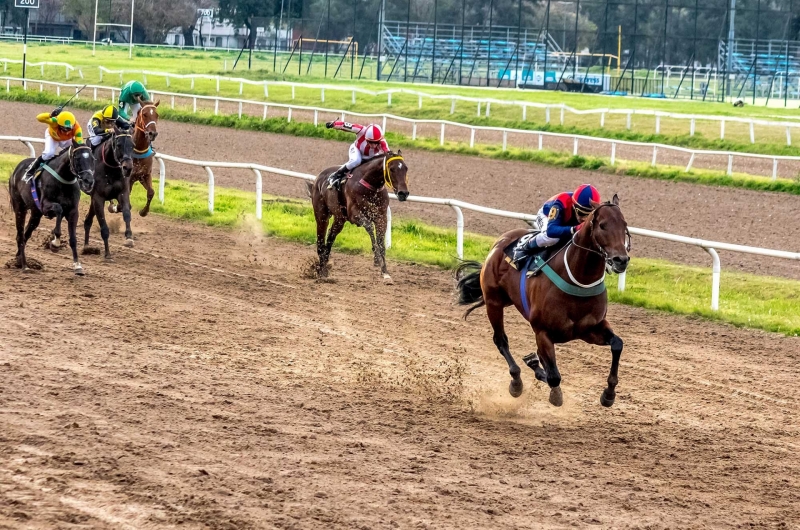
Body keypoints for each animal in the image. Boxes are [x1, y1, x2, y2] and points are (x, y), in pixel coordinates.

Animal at [7, 142, 95, 274]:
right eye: (77, 158)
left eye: (92, 159)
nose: (88, 181)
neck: (64, 179)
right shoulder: (45, 206)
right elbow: (59, 209)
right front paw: (55, 243)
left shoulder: (73, 211)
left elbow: (73, 238)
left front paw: (77, 265)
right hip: (20, 207)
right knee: (20, 235)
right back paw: (25, 265)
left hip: (35, 214)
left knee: (26, 234)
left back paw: (18, 259)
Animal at [308, 151, 410, 280]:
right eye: (391, 169)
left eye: (406, 168)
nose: (403, 193)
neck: (371, 185)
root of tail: (317, 179)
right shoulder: (355, 215)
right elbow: (370, 228)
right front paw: (376, 257)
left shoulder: (381, 217)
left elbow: (381, 242)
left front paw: (385, 272)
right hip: (321, 214)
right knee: (321, 238)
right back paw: (321, 270)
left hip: (340, 218)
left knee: (331, 236)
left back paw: (324, 267)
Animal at [456, 196, 632, 406]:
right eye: (603, 225)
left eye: (624, 225)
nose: (621, 260)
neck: (579, 279)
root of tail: (499, 243)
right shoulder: (542, 332)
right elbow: (554, 377)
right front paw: (552, 390)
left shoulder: (589, 329)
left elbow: (617, 344)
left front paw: (608, 394)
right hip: (494, 302)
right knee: (501, 340)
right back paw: (517, 381)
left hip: (507, 300)